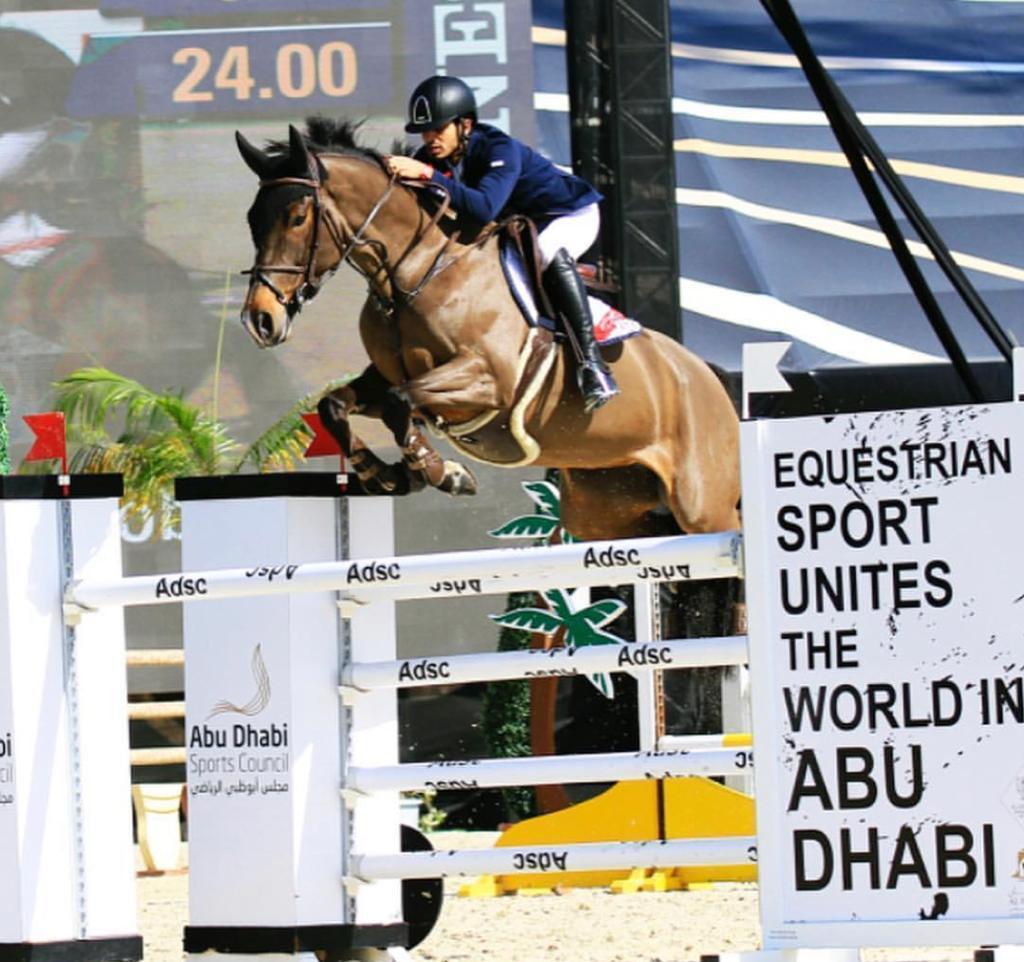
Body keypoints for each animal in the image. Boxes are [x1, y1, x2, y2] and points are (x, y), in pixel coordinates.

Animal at [235, 119, 741, 540]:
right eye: (252, 219)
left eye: (297, 217)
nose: (259, 319)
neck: (415, 272)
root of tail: (706, 376)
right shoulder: (386, 377)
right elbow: (336, 406)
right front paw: (387, 475)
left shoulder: (489, 381)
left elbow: (402, 404)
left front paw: (441, 472)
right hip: (606, 506)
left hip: (702, 506)